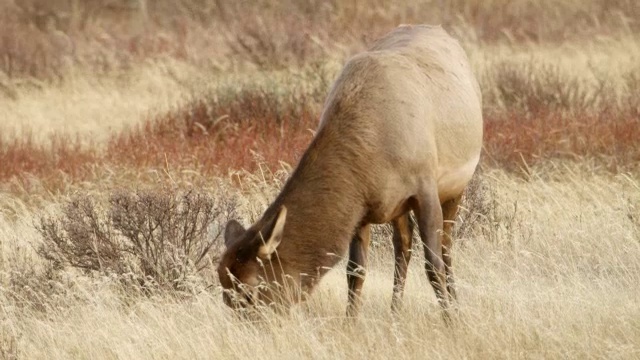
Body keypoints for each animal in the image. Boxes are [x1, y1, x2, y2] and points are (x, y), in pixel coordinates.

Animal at [218, 24, 482, 318]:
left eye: (250, 290)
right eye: (225, 294)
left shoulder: (425, 188)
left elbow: (433, 266)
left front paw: (452, 320)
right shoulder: (361, 207)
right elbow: (355, 271)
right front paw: (350, 322)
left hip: (456, 187)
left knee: (446, 247)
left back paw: (454, 304)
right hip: (396, 208)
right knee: (403, 246)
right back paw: (394, 313)